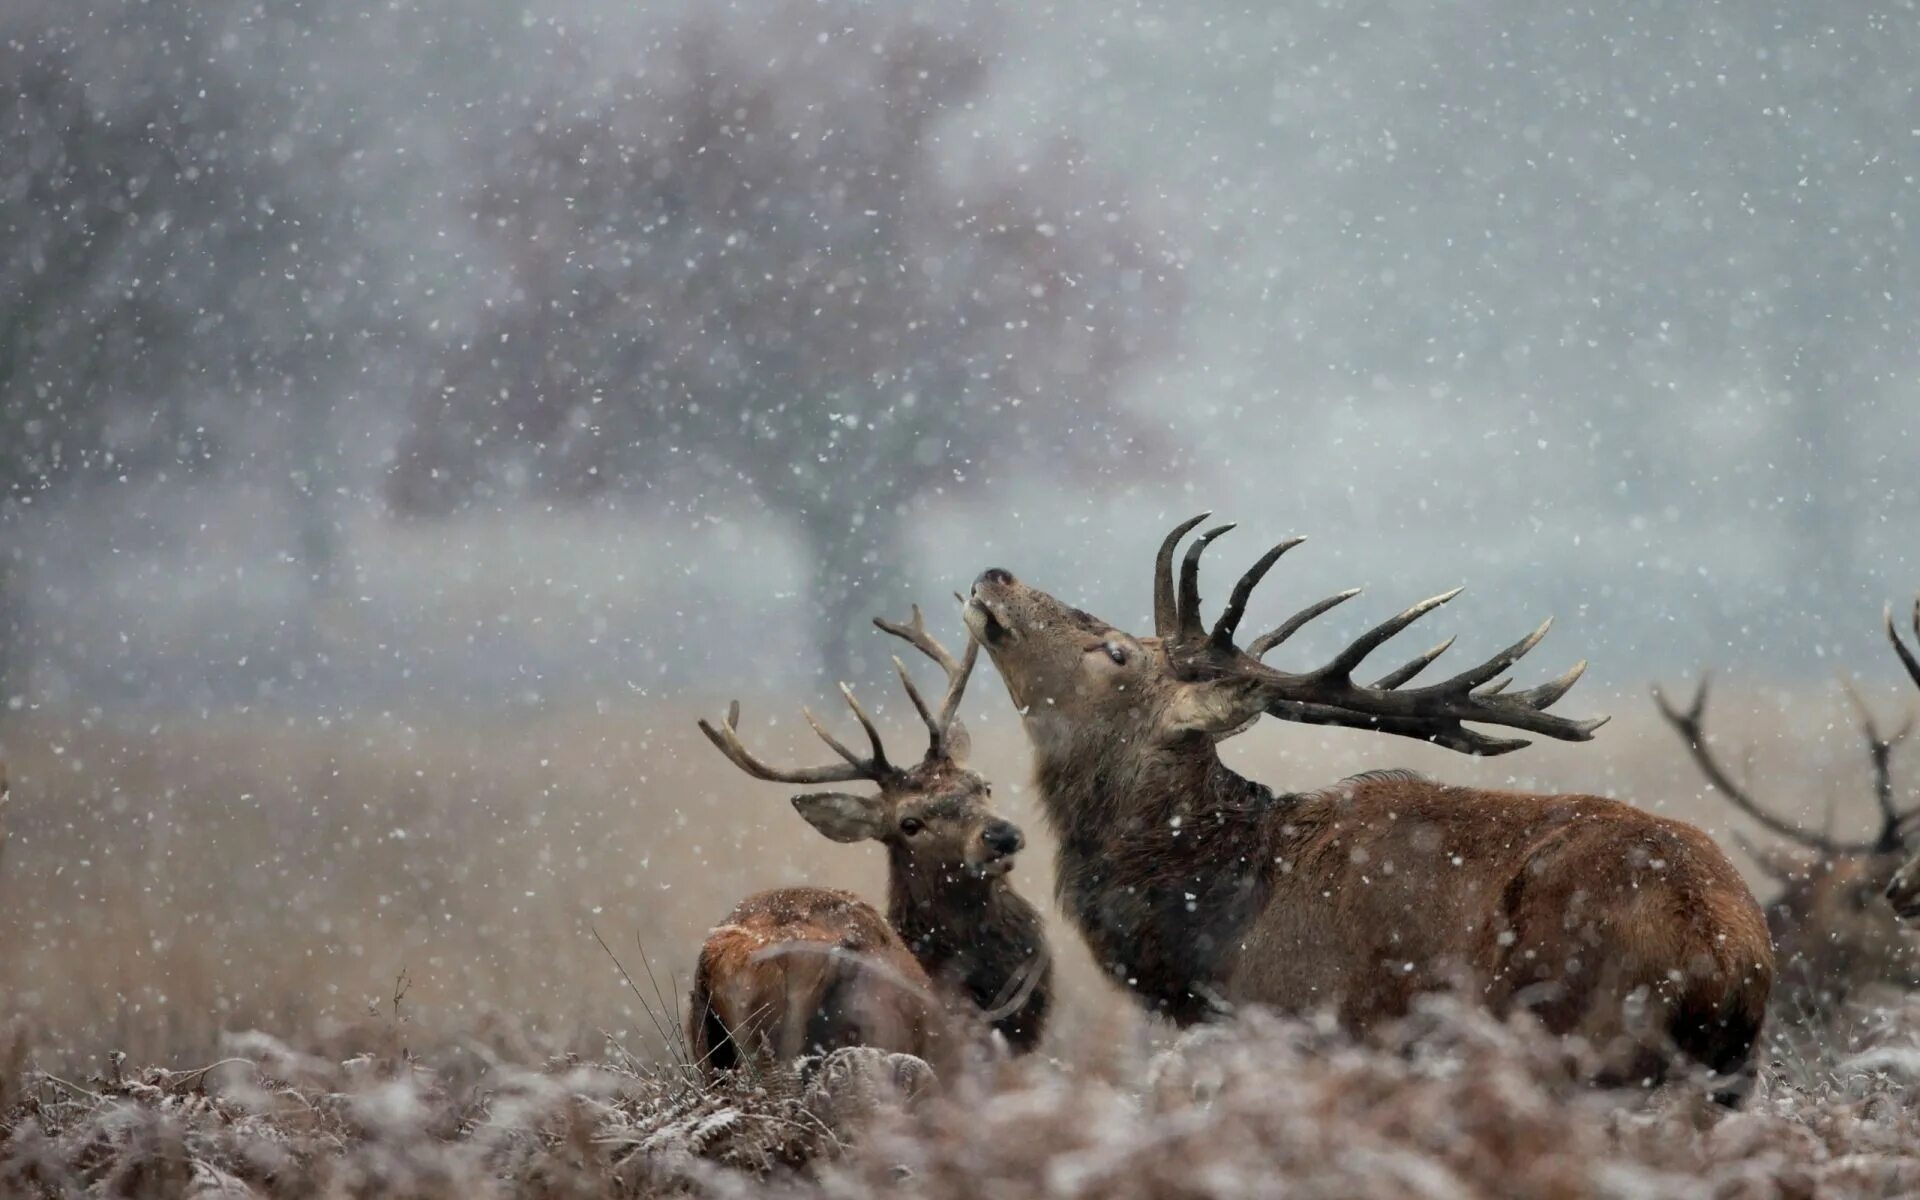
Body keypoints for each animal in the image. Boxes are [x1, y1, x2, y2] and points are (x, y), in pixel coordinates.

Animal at [967, 510, 1774, 1098]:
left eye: (1115, 652)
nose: (994, 575)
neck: (1213, 938)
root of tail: (1724, 950)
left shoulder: (1311, 1026)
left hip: (1580, 1040)